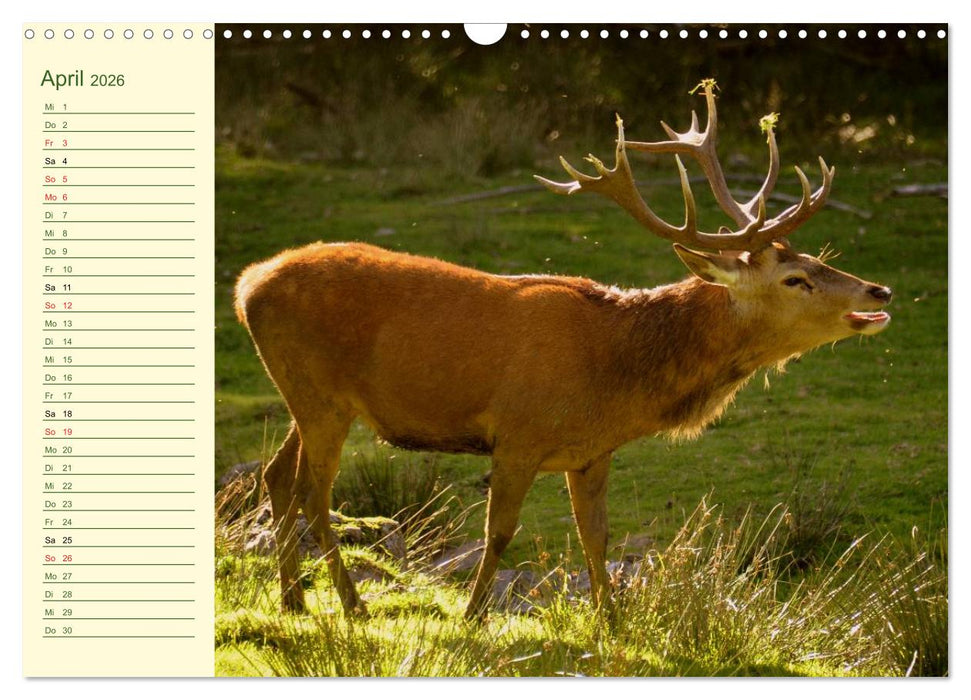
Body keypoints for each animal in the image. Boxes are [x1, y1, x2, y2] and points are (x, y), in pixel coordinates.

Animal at [234, 81, 892, 621]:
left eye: (817, 258)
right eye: (795, 279)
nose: (879, 291)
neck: (617, 374)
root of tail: (247, 285)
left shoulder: (591, 451)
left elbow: (595, 536)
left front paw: (611, 620)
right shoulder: (518, 434)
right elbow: (501, 531)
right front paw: (473, 614)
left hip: (311, 396)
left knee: (277, 476)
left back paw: (293, 599)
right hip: (317, 391)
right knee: (315, 493)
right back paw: (351, 604)